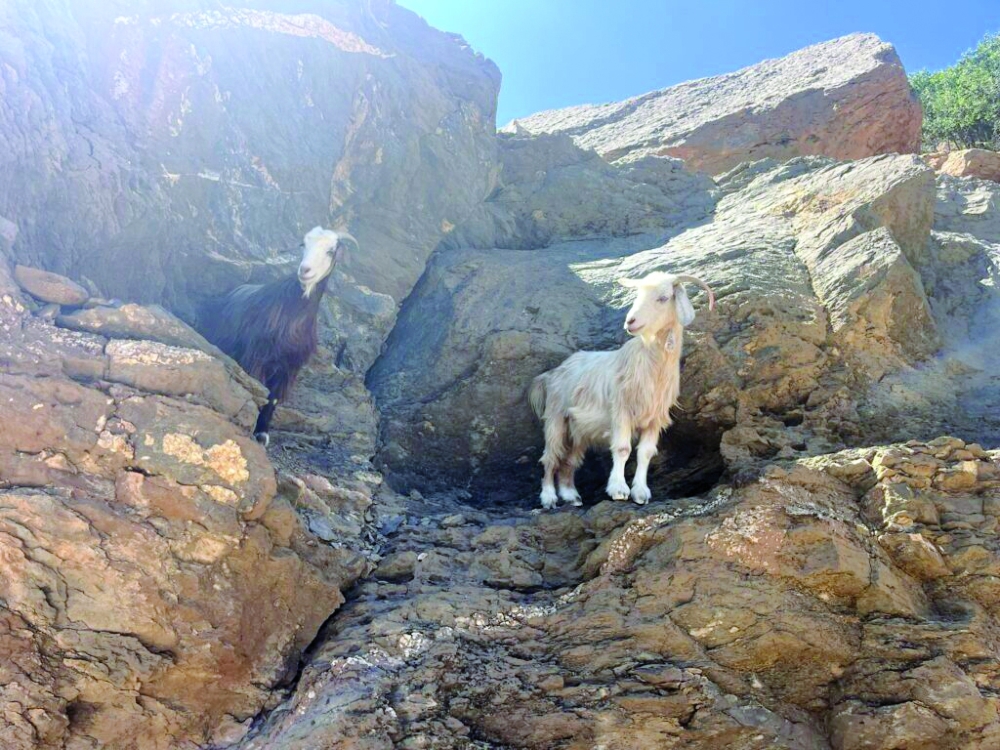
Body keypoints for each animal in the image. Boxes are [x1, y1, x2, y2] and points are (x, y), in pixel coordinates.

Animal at [200, 227, 357, 446]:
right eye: (303, 244)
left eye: (330, 251)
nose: (305, 270)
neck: (293, 316)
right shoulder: (256, 358)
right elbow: (259, 391)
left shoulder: (289, 367)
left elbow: (272, 397)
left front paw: (262, 433)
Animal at [529, 271, 714, 509]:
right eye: (638, 295)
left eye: (663, 297)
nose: (630, 321)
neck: (650, 364)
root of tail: (552, 373)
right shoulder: (621, 411)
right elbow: (622, 449)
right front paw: (618, 490)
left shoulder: (655, 419)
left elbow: (645, 453)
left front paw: (641, 493)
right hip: (556, 418)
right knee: (550, 458)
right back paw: (549, 498)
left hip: (578, 430)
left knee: (569, 461)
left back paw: (571, 496)